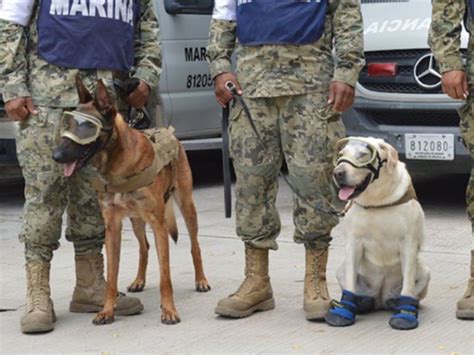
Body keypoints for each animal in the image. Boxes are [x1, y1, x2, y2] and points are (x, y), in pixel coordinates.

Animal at [52, 79, 210, 326]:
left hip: (186, 206)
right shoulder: (112, 228)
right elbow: (111, 277)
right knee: (144, 247)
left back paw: (201, 280)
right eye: (67, 124)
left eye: (87, 127)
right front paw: (107, 310)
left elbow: (165, 275)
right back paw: (139, 280)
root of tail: (168, 131)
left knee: (195, 246)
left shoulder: (158, 225)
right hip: (136, 221)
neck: (117, 166)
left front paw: (169, 310)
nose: (56, 156)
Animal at [326, 138, 430, 332]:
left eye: (363, 155)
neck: (377, 202)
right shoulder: (354, 242)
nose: (338, 173)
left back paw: (398, 302)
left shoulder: (408, 242)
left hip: (425, 272)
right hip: (341, 270)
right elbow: (350, 282)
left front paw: (404, 314)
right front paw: (344, 311)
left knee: (412, 291)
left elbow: (408, 285)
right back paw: (362, 302)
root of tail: (381, 297)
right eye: (341, 155)